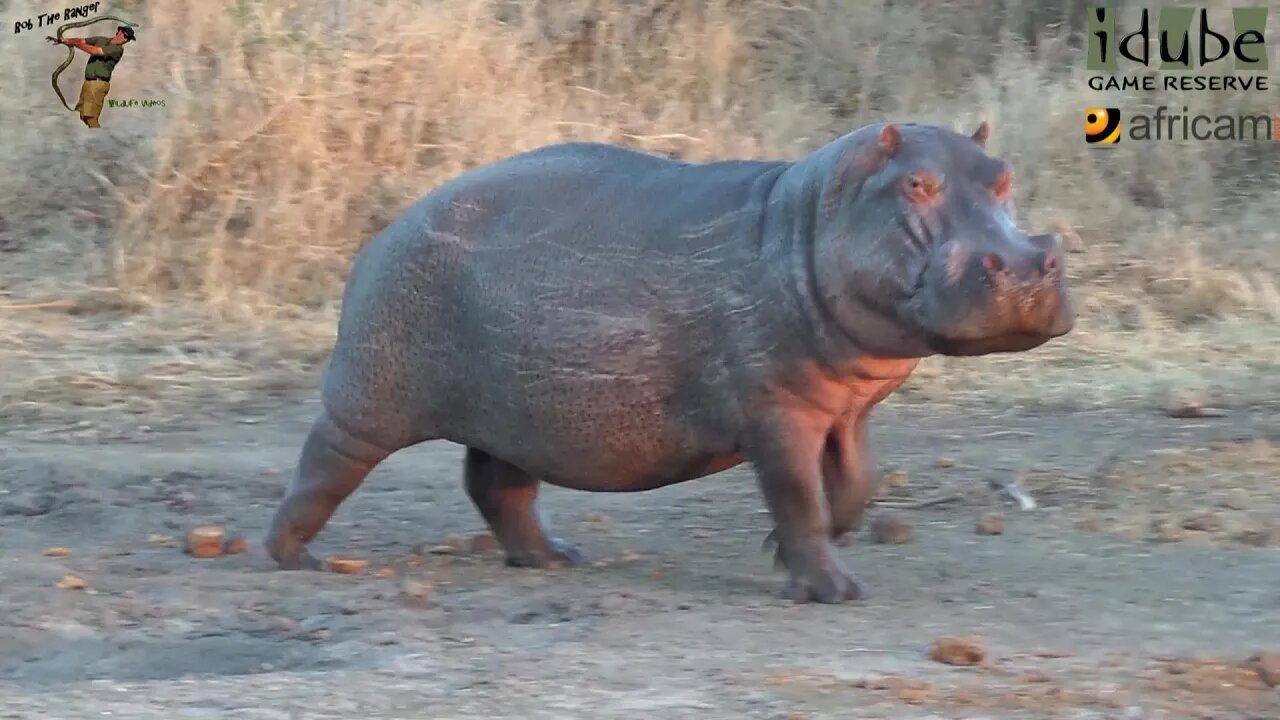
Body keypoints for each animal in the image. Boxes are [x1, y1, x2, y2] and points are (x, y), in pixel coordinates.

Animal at [264, 119, 1075, 599]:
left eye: (1002, 175)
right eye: (916, 183)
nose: (1026, 271)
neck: (811, 219)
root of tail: (391, 226)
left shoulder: (845, 412)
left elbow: (852, 490)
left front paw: (789, 549)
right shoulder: (777, 417)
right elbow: (800, 498)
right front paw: (832, 588)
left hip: (521, 413)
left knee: (497, 487)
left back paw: (555, 558)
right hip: (370, 400)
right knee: (324, 464)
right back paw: (291, 557)